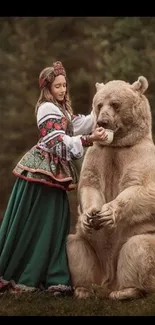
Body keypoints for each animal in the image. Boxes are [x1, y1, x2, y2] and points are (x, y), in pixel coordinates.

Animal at [67, 75, 155, 298]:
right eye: (99, 104)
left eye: (115, 104)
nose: (102, 121)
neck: (117, 144)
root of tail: (108, 281)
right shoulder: (98, 154)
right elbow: (90, 184)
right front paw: (91, 214)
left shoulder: (139, 154)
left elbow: (143, 189)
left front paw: (107, 212)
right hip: (90, 248)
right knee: (75, 248)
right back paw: (84, 289)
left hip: (140, 237)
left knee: (138, 248)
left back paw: (127, 291)